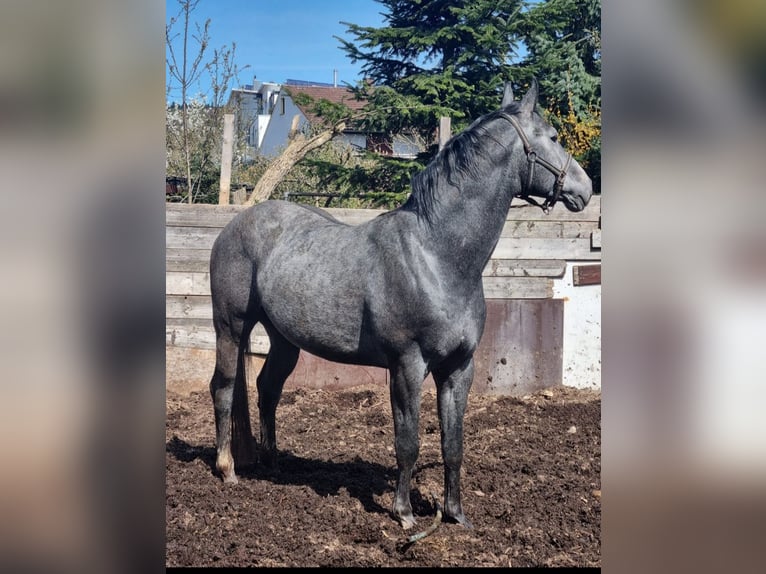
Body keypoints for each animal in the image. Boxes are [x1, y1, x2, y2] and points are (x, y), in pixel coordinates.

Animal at [206, 80, 592, 532]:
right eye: (553, 136)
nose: (584, 189)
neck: (436, 255)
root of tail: (234, 227)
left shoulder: (458, 368)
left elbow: (453, 443)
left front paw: (455, 514)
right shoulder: (407, 365)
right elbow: (407, 442)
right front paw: (405, 514)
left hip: (285, 340)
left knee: (268, 389)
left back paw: (273, 464)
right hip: (230, 328)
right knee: (224, 387)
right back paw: (227, 469)